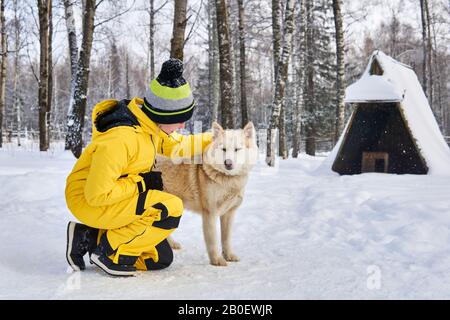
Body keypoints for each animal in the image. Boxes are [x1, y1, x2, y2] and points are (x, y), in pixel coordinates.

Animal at [157, 121, 256, 266]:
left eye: (237, 149)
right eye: (223, 149)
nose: (228, 163)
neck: (227, 181)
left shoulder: (229, 214)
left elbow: (226, 239)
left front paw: (229, 256)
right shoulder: (210, 213)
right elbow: (213, 241)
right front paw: (216, 261)